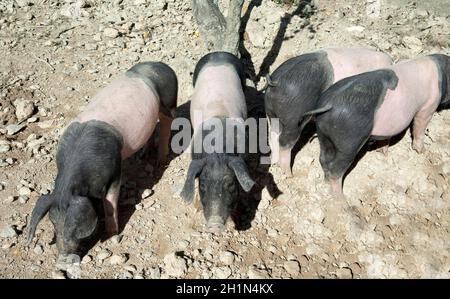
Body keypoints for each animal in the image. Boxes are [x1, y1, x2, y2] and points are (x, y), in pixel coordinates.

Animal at [25, 61, 178, 258]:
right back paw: (143, 155)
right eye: (52, 222)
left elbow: (110, 203)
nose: (63, 256)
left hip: (169, 101)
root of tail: (162, 64)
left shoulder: (115, 170)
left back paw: (161, 160)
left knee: (167, 124)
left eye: (75, 226)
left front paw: (112, 233)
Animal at [262, 47, 392, 176]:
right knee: (284, 142)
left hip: (270, 113)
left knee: (272, 137)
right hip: (293, 117)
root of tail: (275, 82)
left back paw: (274, 163)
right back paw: (289, 174)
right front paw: (384, 152)